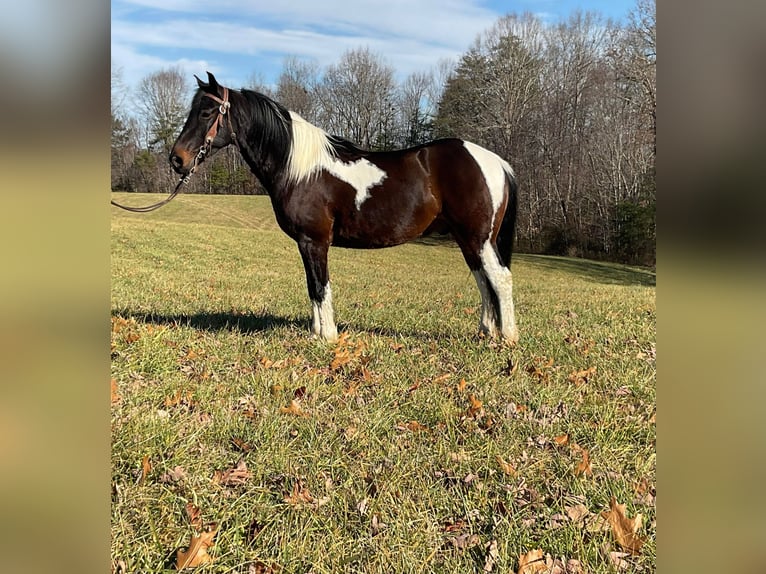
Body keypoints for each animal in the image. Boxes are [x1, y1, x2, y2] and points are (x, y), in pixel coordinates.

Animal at [172, 71, 520, 342]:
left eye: (206, 113)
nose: (177, 159)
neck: (299, 168)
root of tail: (497, 161)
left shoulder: (314, 240)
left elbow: (321, 286)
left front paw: (328, 336)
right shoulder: (306, 244)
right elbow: (312, 286)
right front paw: (316, 333)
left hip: (478, 238)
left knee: (500, 279)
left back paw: (508, 337)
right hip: (467, 240)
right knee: (483, 281)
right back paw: (485, 332)